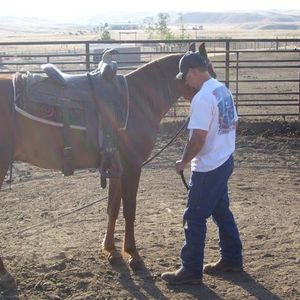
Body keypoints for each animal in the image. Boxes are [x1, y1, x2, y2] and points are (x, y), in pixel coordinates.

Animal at [0, 42, 216, 268]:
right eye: (211, 72)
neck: (139, 99)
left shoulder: (115, 168)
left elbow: (113, 207)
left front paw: (111, 249)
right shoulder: (132, 166)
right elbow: (129, 208)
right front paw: (132, 253)